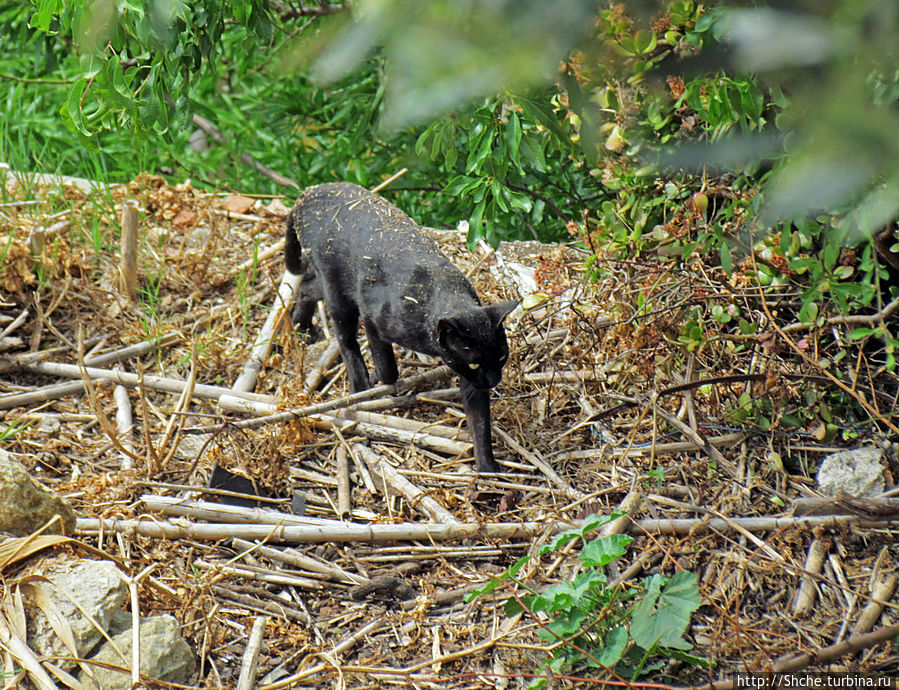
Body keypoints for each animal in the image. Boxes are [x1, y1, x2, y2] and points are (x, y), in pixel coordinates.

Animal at [284, 181, 516, 472]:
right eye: (475, 363)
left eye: (501, 357)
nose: (493, 380)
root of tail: (307, 194)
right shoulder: (373, 319)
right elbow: (389, 369)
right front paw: (376, 378)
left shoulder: (470, 381)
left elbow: (480, 422)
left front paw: (487, 469)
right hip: (339, 293)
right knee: (345, 339)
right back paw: (360, 384)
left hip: (334, 286)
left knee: (306, 286)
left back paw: (301, 328)